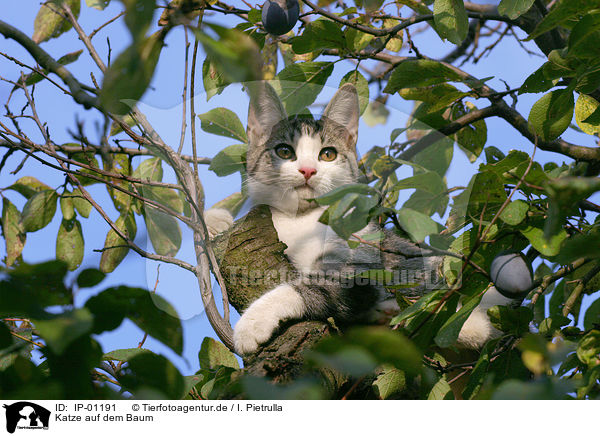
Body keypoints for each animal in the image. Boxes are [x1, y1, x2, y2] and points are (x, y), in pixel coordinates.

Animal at [205, 82, 516, 354]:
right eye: (284, 151)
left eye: (327, 155)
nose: (307, 170)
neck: (298, 219)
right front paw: (214, 221)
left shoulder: (359, 255)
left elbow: (321, 286)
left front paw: (253, 322)